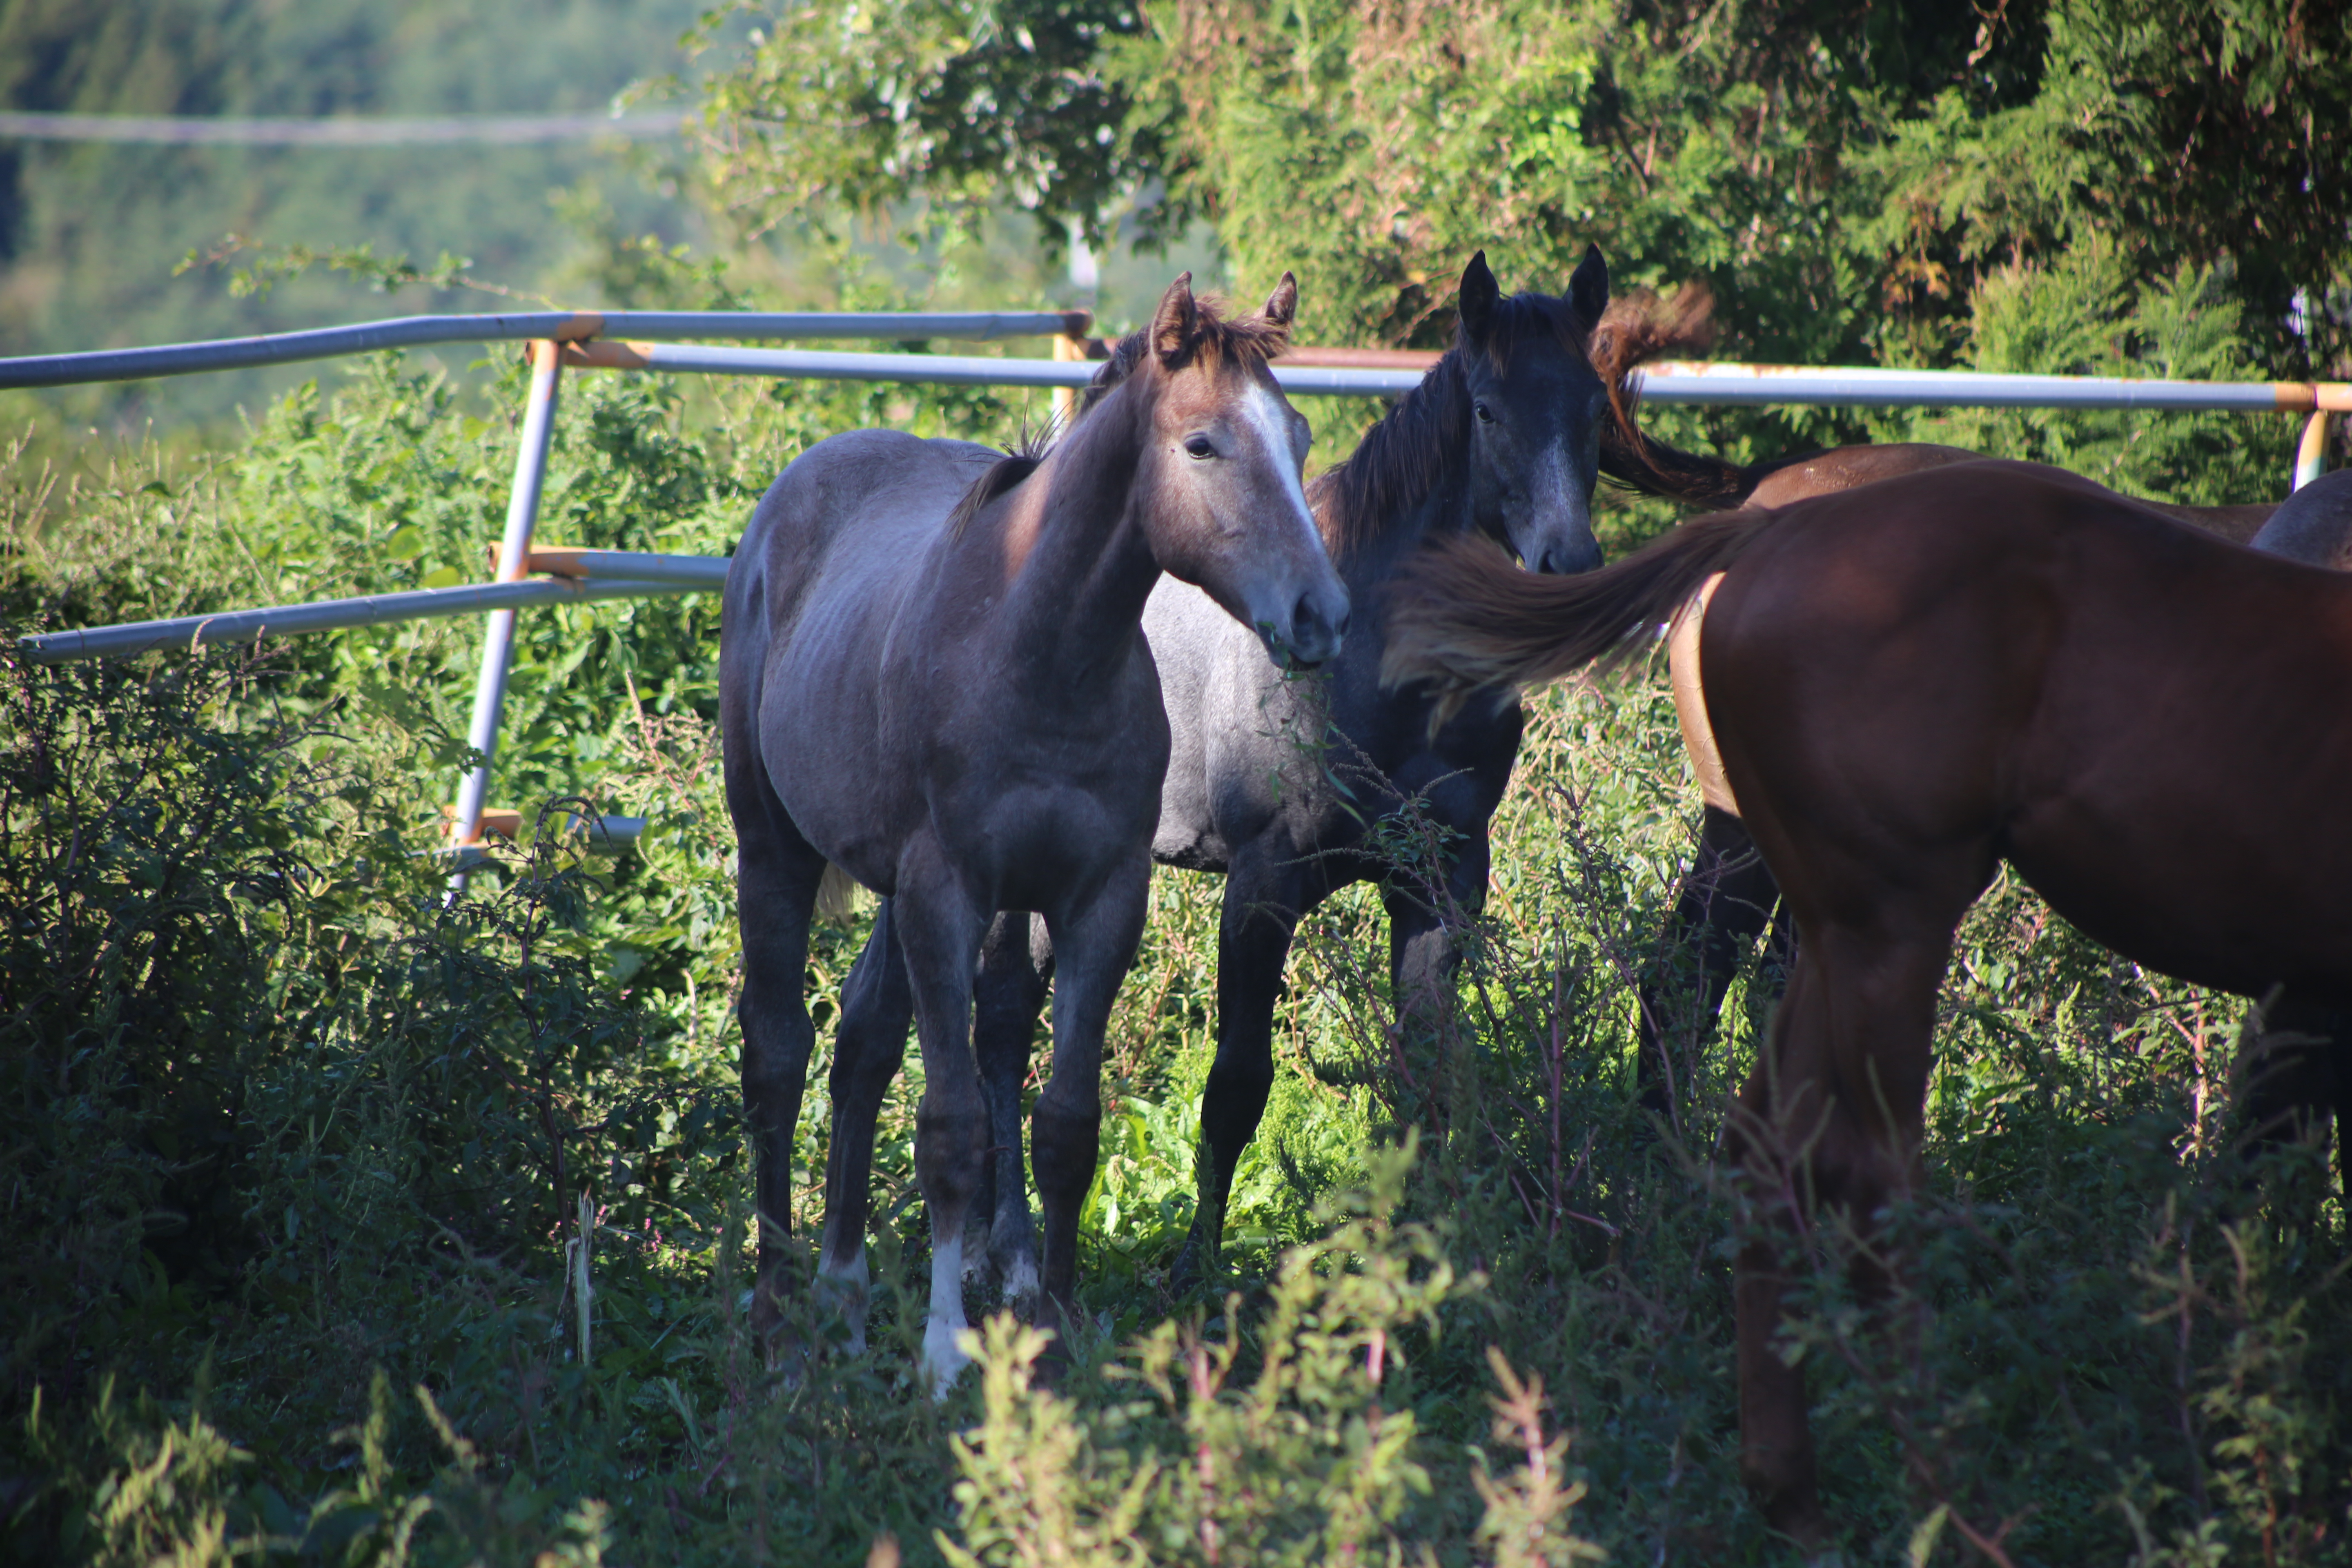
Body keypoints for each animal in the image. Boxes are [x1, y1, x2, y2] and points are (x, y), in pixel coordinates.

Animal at [1373, 456, 2352, 1542]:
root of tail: (1763, 529)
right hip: (1890, 918)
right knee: (1863, 1168)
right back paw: (1946, 1498)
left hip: (1832, 921)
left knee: (1760, 1128)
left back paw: (1791, 1488)